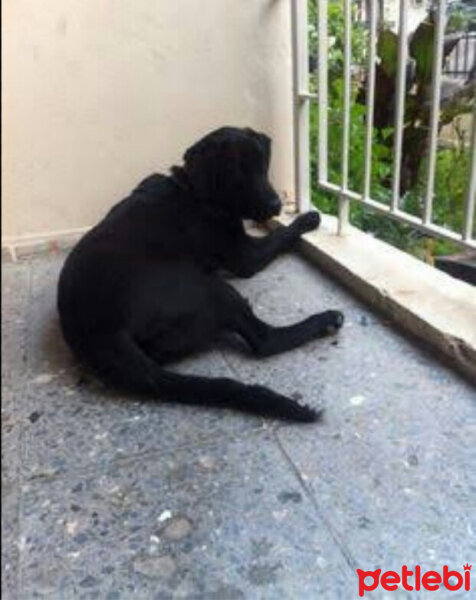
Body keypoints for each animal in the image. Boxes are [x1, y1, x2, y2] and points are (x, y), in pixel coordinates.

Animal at [57, 126, 344, 422]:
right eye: (238, 172)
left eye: (263, 165)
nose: (276, 204)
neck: (194, 190)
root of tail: (102, 333)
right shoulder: (246, 257)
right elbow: (282, 234)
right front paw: (307, 218)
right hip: (213, 290)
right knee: (265, 340)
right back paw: (325, 320)